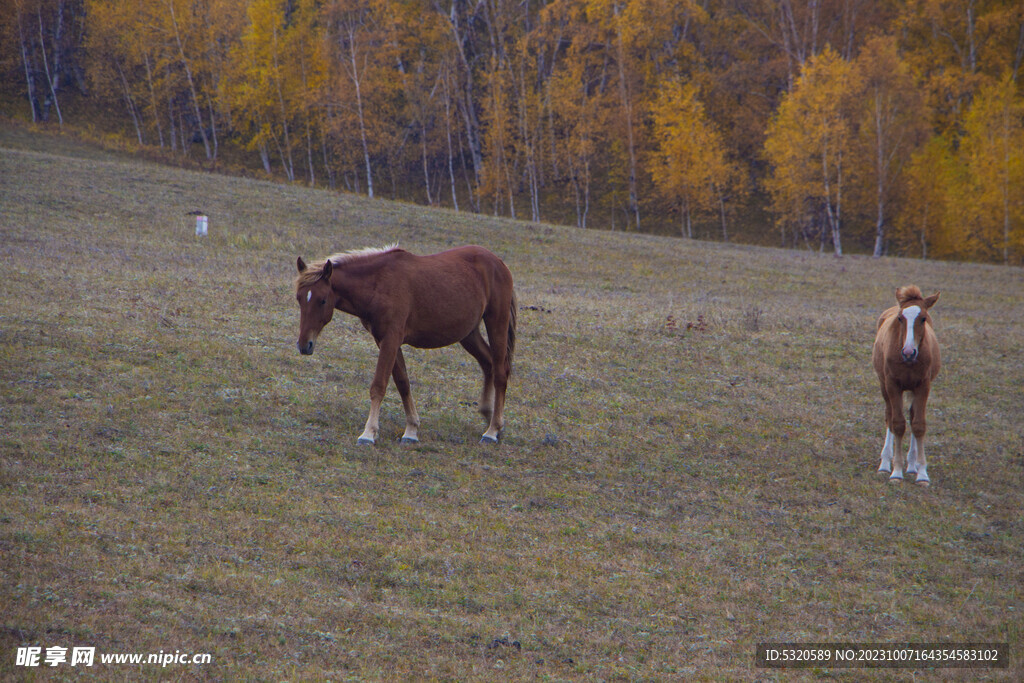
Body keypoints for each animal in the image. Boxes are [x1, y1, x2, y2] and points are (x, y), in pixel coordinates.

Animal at [296, 242, 520, 446]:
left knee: (500, 372)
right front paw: (411, 430)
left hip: (496, 323)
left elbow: (379, 385)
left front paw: (368, 434)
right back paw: (490, 417)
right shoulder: (385, 341)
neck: (379, 283)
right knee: (488, 364)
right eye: (299, 298)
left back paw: (492, 430)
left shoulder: (391, 339)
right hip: (468, 333)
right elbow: (403, 383)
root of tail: (499, 263)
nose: (304, 345)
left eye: (322, 300)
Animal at [872, 286, 942, 483]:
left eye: (923, 318)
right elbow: (897, 424)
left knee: (911, 416)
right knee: (889, 415)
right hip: (884, 385)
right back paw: (885, 463)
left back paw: (911, 465)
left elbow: (918, 424)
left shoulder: (923, 386)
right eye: (900, 318)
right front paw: (896, 472)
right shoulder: (892, 385)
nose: (909, 352)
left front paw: (922, 473)